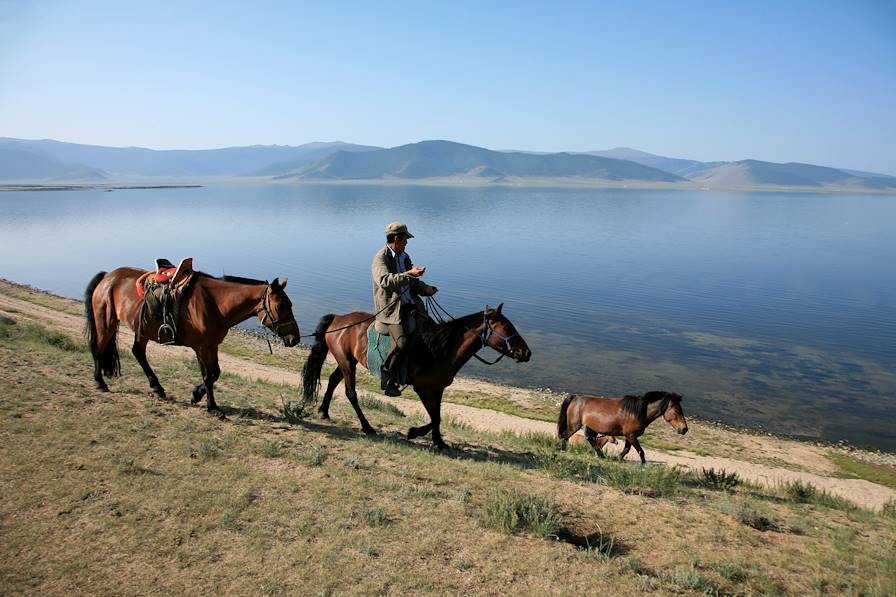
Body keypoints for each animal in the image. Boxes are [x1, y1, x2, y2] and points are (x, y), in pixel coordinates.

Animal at [84, 268, 300, 416]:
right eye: (281, 306)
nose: (295, 338)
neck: (215, 304)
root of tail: (108, 277)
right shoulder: (201, 348)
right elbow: (208, 376)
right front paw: (213, 408)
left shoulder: (212, 346)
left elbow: (214, 374)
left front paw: (197, 395)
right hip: (106, 323)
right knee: (98, 349)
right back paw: (100, 382)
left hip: (141, 332)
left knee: (138, 352)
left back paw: (157, 387)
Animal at [300, 302, 528, 448]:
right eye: (507, 326)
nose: (526, 353)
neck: (440, 349)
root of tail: (338, 319)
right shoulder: (423, 389)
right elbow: (434, 416)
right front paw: (415, 432)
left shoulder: (437, 389)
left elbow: (437, 416)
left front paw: (439, 441)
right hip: (348, 364)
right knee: (351, 393)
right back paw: (367, 427)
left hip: (347, 362)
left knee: (332, 381)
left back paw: (324, 411)